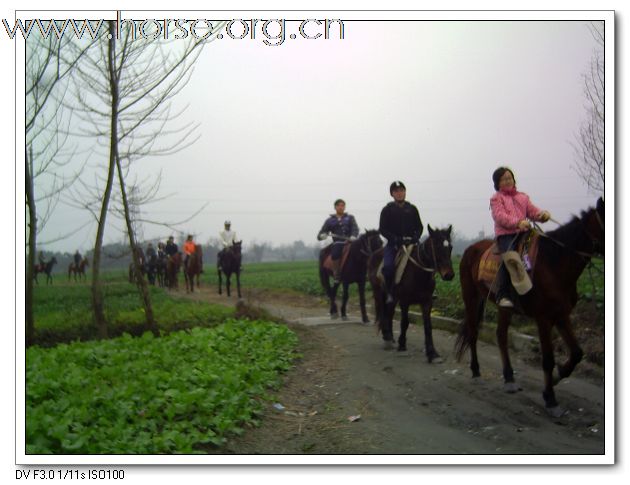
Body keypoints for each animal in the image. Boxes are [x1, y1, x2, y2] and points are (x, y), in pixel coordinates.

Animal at [368, 225, 456, 362]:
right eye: (436, 246)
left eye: (450, 247)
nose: (449, 275)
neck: (419, 272)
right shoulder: (405, 301)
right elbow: (405, 322)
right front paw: (402, 345)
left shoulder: (427, 302)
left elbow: (428, 326)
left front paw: (432, 353)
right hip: (379, 293)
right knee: (383, 313)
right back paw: (387, 338)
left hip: (393, 298)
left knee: (389, 313)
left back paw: (390, 337)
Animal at [460, 197, 608, 416]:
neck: (554, 263)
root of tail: (471, 248)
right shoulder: (544, 319)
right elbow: (547, 359)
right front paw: (550, 399)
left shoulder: (562, 314)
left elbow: (577, 352)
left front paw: (558, 376)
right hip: (470, 297)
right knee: (473, 332)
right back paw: (476, 371)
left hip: (504, 306)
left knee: (501, 335)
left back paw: (509, 378)